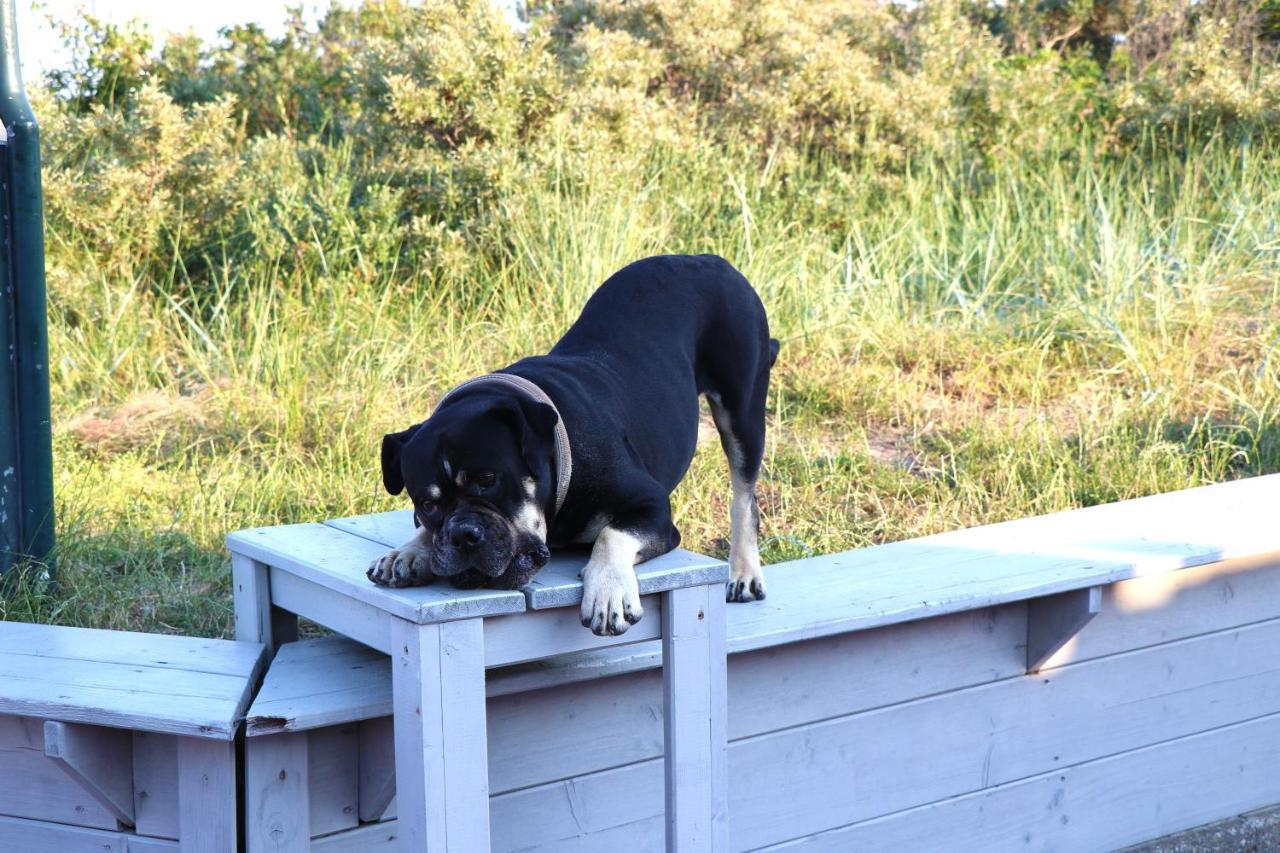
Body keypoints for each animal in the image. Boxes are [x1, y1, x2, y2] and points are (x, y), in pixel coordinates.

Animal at [366, 256, 773, 635]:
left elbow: (612, 534)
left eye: (488, 480)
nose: (463, 534)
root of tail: (705, 257)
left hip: (743, 409)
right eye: (428, 504)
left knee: (744, 494)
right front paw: (411, 550)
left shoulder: (651, 507)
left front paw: (608, 591)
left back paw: (743, 572)